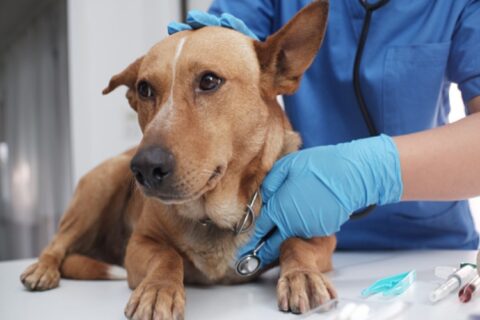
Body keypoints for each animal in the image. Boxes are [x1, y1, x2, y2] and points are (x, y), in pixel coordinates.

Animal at [19, 0, 338, 318]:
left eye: (209, 80)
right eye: (144, 89)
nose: (145, 168)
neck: (214, 215)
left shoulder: (323, 237)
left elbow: (296, 244)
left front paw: (302, 276)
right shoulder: (139, 245)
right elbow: (167, 255)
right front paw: (158, 289)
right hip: (103, 181)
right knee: (57, 243)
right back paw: (43, 269)